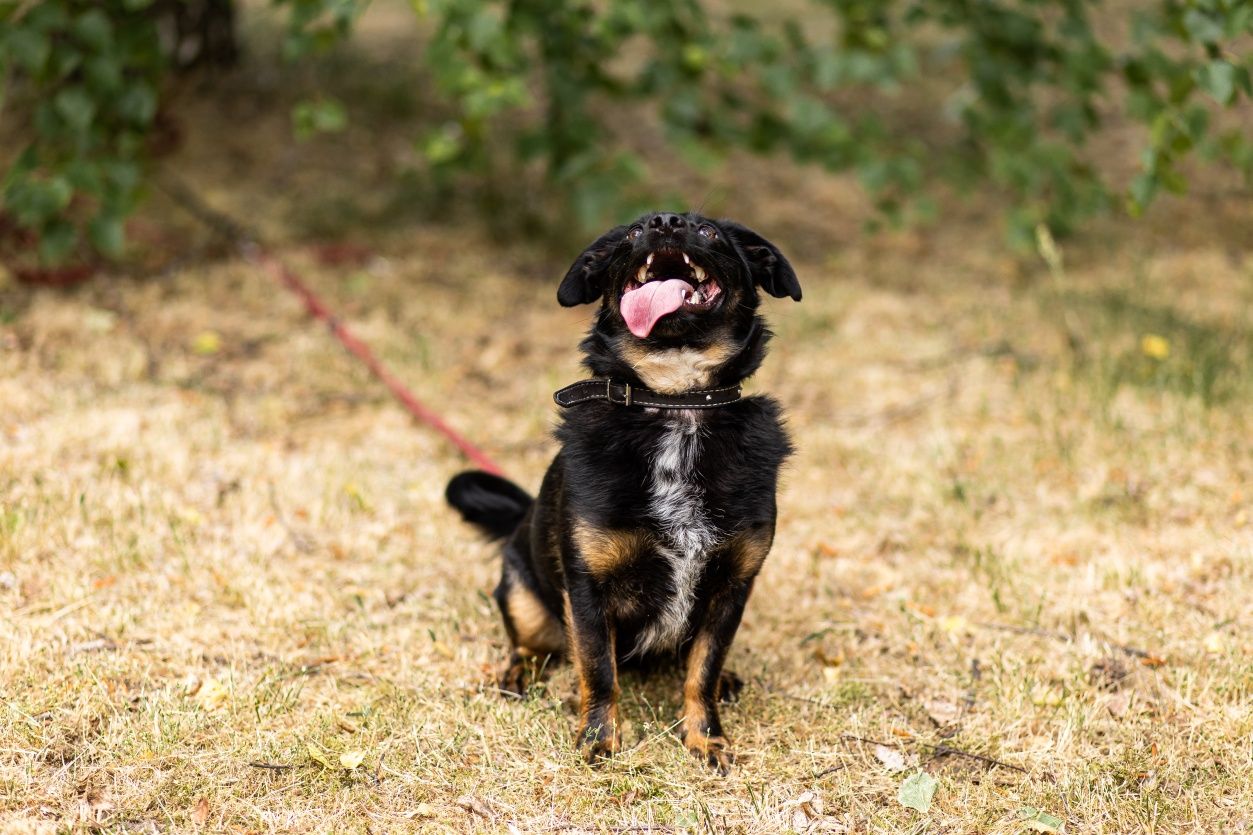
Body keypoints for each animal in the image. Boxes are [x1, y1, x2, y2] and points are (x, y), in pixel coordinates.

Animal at [446, 211, 796, 772]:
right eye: (632, 234)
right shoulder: (589, 587)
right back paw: (519, 672)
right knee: (529, 644)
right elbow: (599, 670)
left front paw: (706, 738)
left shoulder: (732, 587)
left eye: (710, 232)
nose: (665, 222)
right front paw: (598, 740)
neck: (676, 402)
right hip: (521, 592)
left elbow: (702, 670)